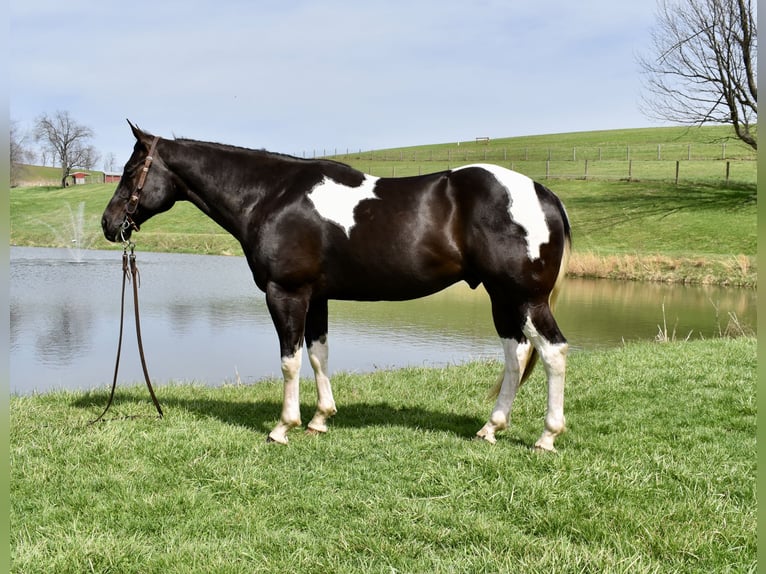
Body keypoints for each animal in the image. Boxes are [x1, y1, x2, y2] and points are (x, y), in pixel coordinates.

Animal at [102, 121, 572, 450]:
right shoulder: (318, 297)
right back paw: (491, 427)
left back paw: (546, 437)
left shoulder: (286, 293)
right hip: (502, 298)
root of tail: (543, 192)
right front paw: (320, 419)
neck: (271, 196)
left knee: (552, 351)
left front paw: (283, 426)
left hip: (526, 298)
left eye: (130, 171)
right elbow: (318, 354)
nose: (109, 224)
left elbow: (290, 360)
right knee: (515, 355)